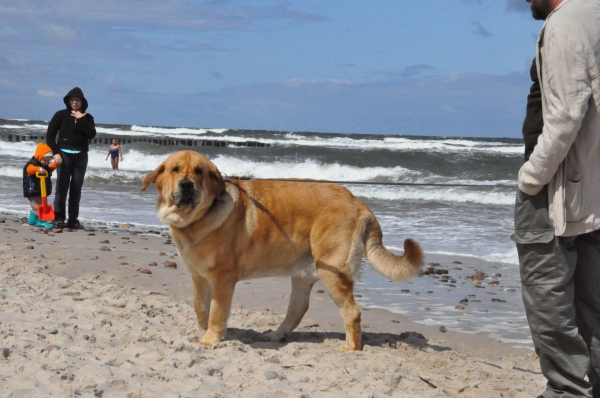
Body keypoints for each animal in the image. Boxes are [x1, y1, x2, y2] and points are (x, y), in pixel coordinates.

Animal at [142, 151, 422, 352]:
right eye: (175, 169)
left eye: (198, 171)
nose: (186, 185)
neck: (197, 219)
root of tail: (359, 203)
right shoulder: (199, 278)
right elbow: (201, 309)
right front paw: (201, 332)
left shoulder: (223, 280)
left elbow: (216, 314)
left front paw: (210, 340)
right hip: (302, 276)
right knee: (297, 309)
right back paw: (275, 335)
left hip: (332, 272)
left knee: (352, 313)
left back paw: (349, 350)